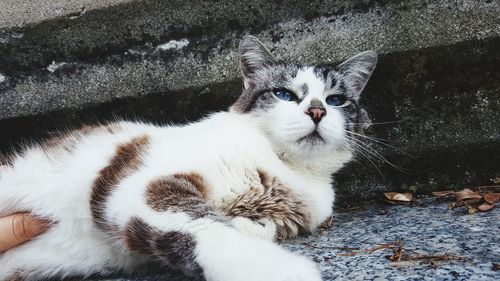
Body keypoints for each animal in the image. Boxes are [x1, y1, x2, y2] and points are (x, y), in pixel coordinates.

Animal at [0, 35, 376, 280]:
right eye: (283, 94)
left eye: (337, 100)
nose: (316, 111)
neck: (287, 168)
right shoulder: (140, 186)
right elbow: (205, 227)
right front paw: (276, 269)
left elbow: (251, 226)